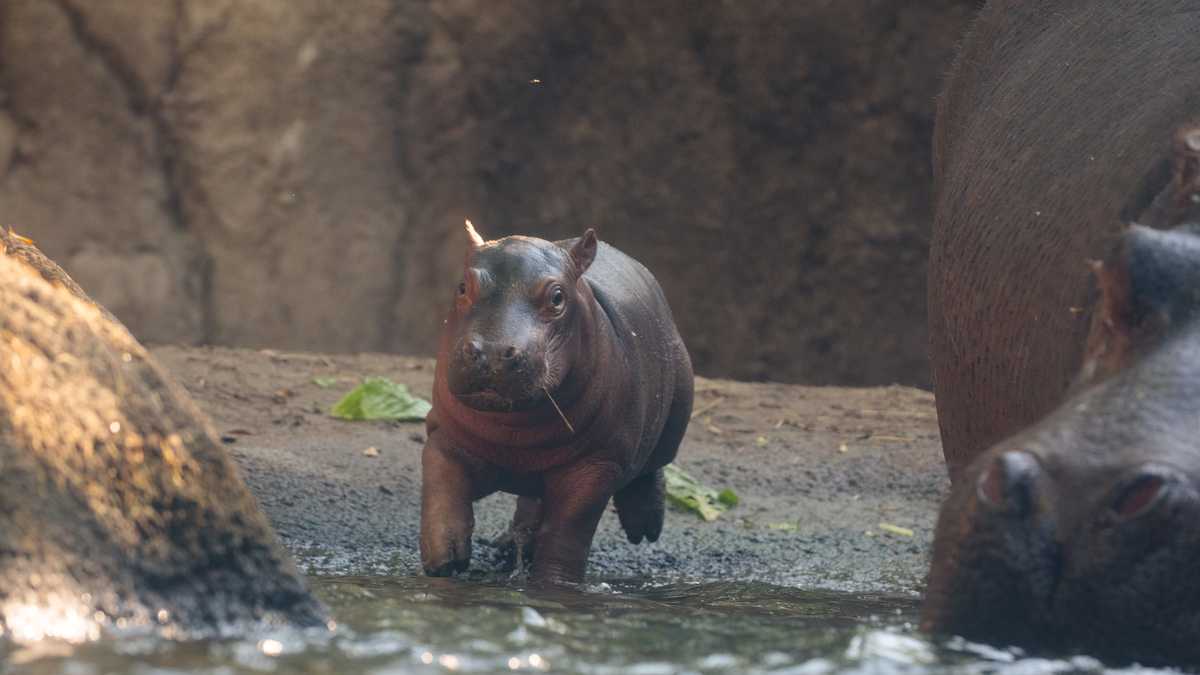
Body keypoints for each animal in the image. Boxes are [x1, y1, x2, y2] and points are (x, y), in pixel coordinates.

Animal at [419, 222, 693, 584]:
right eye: (462, 286)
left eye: (558, 297)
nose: (491, 351)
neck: (513, 433)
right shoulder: (443, 434)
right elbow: (440, 487)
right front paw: (445, 562)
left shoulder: (596, 466)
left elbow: (568, 532)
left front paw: (554, 583)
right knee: (532, 502)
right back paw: (511, 544)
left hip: (675, 409)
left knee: (652, 466)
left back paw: (644, 528)